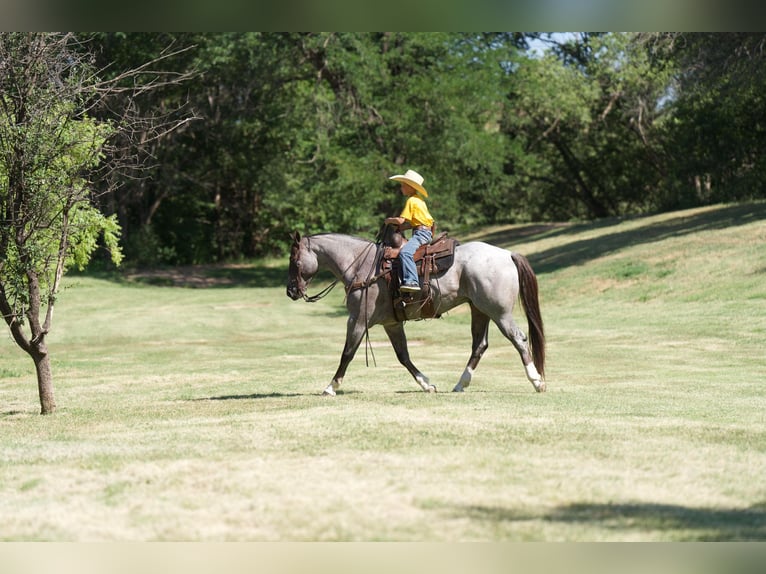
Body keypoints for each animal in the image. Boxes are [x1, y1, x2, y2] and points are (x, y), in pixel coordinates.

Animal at [286, 230, 545, 396]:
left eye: (295, 262)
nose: (291, 291)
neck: (362, 266)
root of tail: (507, 254)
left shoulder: (357, 320)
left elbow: (347, 354)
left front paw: (330, 387)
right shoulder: (391, 324)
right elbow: (404, 356)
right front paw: (427, 385)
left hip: (499, 312)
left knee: (519, 338)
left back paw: (536, 381)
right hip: (479, 310)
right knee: (479, 346)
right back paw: (460, 384)